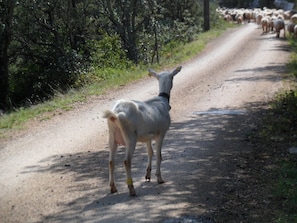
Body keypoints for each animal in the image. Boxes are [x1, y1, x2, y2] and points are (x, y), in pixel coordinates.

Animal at [103, 66, 182, 195]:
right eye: (172, 77)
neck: (162, 101)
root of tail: (115, 113)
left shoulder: (147, 137)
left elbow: (150, 152)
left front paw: (148, 175)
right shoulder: (161, 133)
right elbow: (159, 155)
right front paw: (159, 178)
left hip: (112, 137)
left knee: (111, 161)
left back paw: (113, 188)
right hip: (130, 137)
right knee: (126, 161)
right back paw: (131, 189)